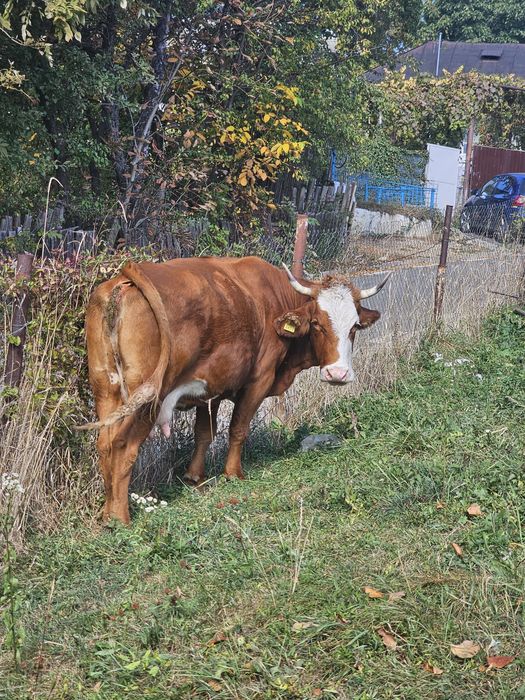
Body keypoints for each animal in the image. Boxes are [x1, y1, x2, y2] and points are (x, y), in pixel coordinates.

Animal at [82, 256, 390, 523]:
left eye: (354, 327)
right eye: (317, 323)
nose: (337, 373)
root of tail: (126, 277)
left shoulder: (210, 386)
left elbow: (204, 433)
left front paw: (195, 478)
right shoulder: (259, 380)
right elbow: (238, 428)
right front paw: (233, 473)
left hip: (106, 391)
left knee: (104, 443)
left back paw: (106, 513)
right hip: (148, 400)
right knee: (124, 447)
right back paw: (120, 517)